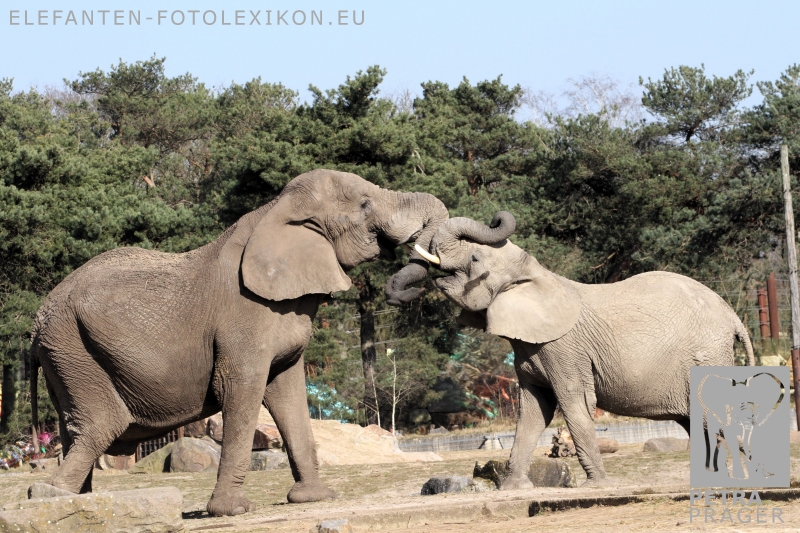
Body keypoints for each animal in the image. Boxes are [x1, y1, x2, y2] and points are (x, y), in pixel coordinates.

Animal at [29, 169, 447, 516]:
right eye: (364, 204)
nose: (401, 293)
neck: (277, 210)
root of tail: (36, 322)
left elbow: (288, 392)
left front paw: (316, 499)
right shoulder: (245, 317)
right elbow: (241, 389)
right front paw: (232, 511)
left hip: (66, 358)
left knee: (75, 429)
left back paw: (76, 500)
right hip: (75, 348)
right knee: (99, 426)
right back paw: (51, 498)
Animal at [416, 211, 755, 487]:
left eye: (474, 259)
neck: (537, 276)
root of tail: (733, 316)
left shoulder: (563, 348)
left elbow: (574, 401)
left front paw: (599, 485)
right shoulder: (530, 347)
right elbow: (533, 410)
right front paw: (513, 488)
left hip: (706, 356)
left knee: (713, 417)